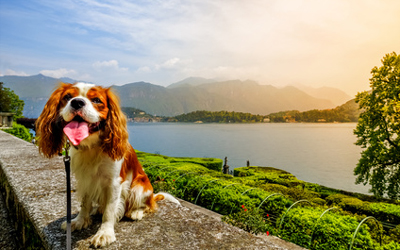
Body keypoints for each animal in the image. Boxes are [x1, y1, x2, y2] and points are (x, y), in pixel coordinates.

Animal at [36, 82, 180, 248]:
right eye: (67, 97)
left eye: (97, 100)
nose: (77, 102)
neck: (91, 146)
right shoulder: (85, 179)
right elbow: (84, 204)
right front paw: (80, 221)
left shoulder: (114, 183)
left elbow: (110, 211)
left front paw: (105, 233)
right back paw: (98, 209)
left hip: (139, 187)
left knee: (148, 205)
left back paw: (136, 212)